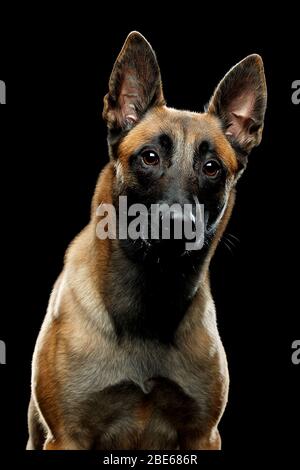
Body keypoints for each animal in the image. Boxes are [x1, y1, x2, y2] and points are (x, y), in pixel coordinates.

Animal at [27, 31, 268, 450]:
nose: (177, 224)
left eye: (212, 168)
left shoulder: (202, 436)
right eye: (150, 157)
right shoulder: (68, 437)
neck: (150, 302)